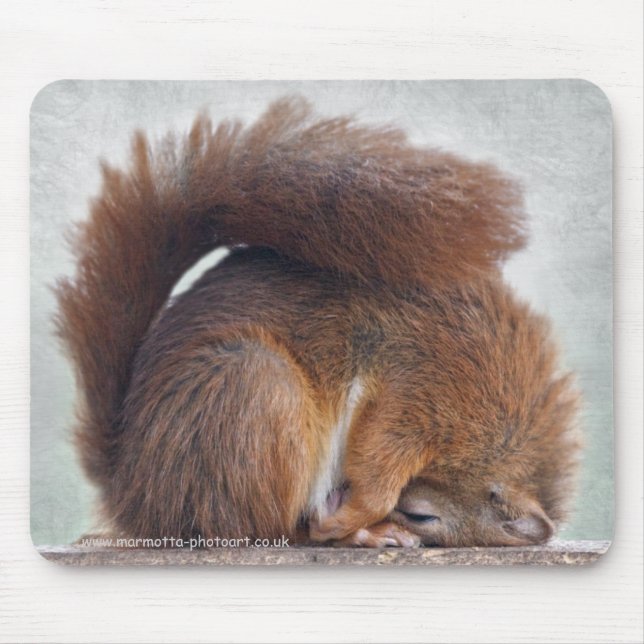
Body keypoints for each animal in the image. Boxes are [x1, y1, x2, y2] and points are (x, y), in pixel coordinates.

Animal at [55, 97, 580, 548]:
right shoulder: (425, 386)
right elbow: (379, 456)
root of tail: (133, 495)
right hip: (252, 389)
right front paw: (357, 515)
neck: (501, 427)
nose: (405, 516)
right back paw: (353, 531)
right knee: (264, 532)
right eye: (422, 515)